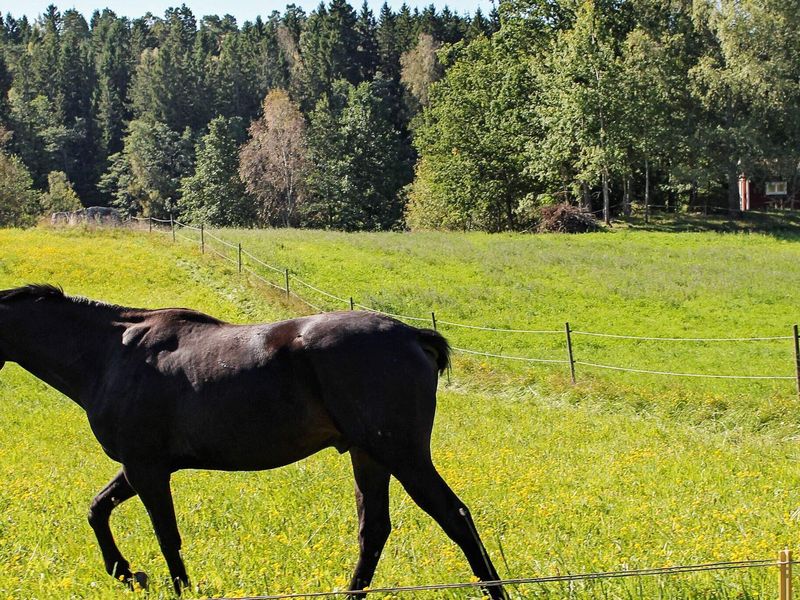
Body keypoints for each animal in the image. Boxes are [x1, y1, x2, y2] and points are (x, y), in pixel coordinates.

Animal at [0, 288, 510, 600]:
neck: (112, 354)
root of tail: (411, 336)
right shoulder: (140, 467)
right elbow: (97, 510)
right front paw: (127, 573)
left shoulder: (147, 468)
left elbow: (167, 537)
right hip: (369, 456)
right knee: (374, 531)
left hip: (402, 456)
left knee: (455, 517)